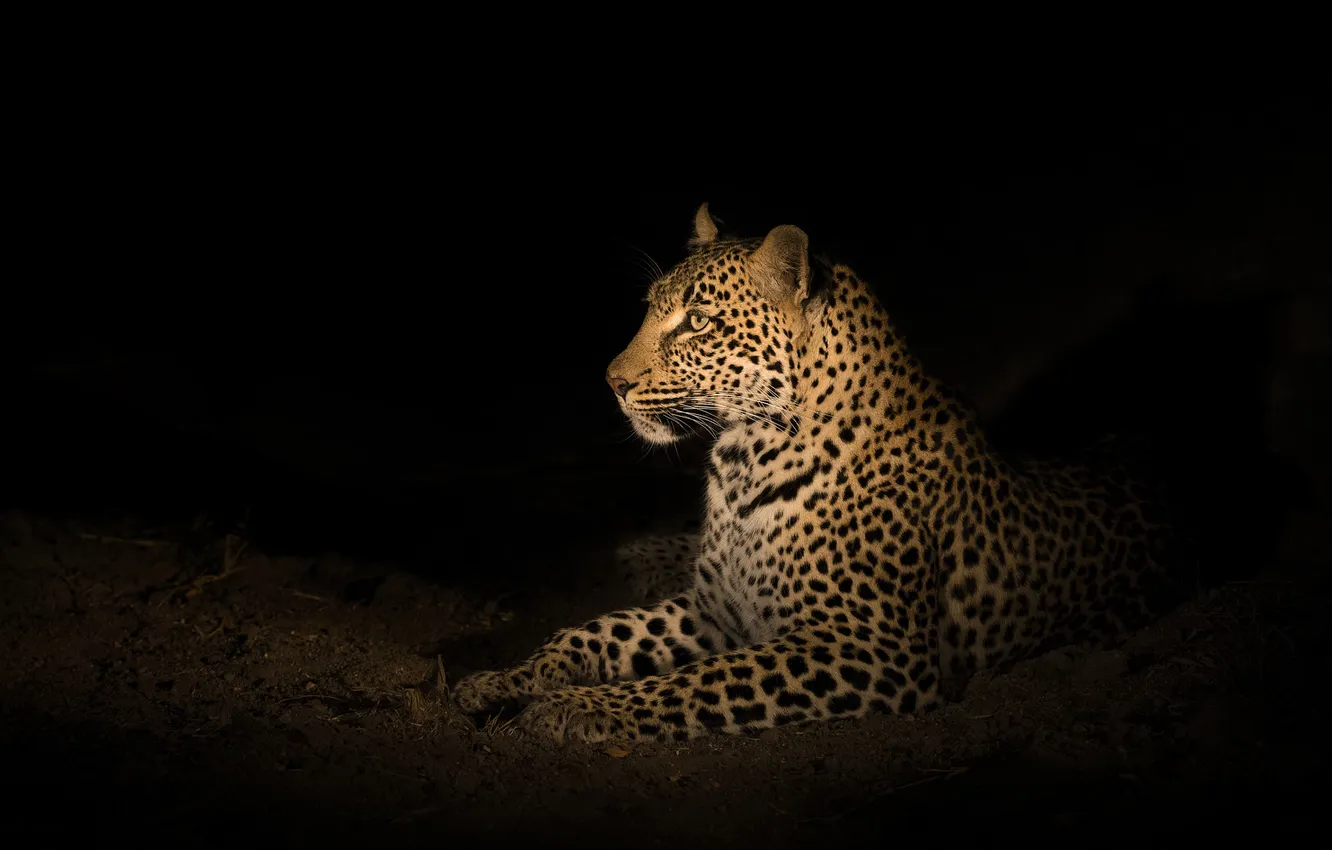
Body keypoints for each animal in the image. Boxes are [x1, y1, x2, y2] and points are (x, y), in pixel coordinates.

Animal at [453, 203, 1178, 744]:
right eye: (650, 309)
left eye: (697, 323)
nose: (613, 382)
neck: (742, 465)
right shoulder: (716, 610)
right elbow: (593, 630)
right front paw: (501, 681)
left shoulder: (866, 647)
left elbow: (704, 680)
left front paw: (575, 708)